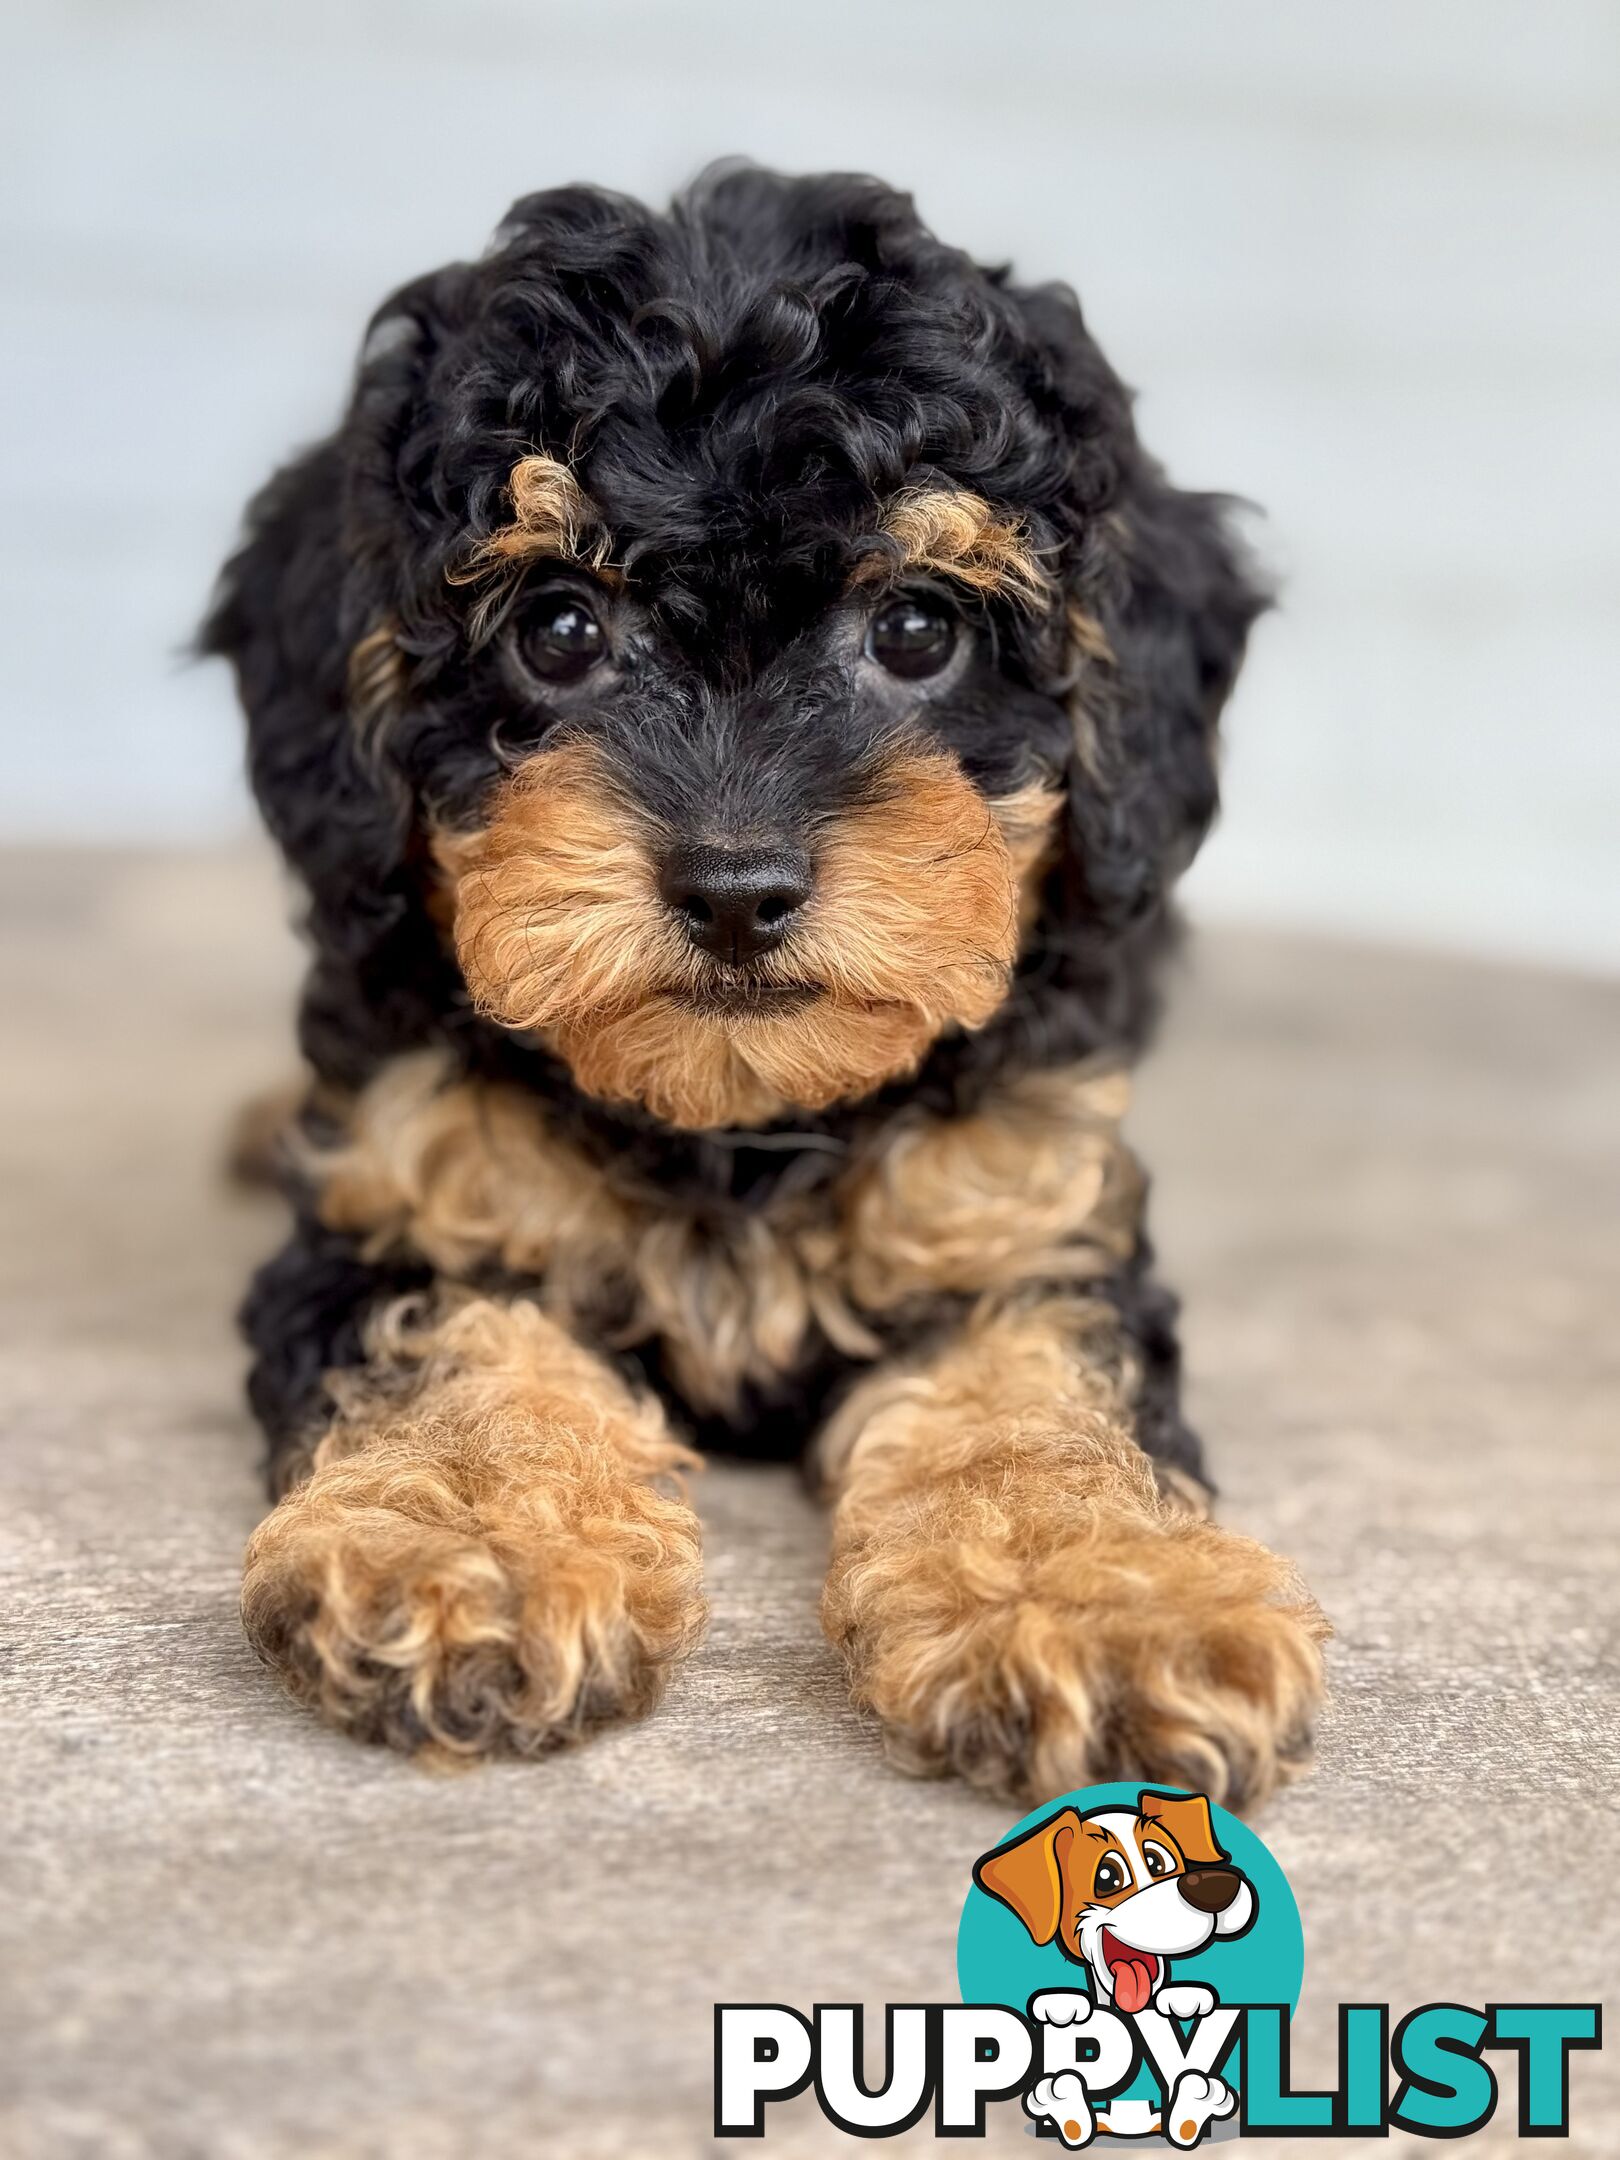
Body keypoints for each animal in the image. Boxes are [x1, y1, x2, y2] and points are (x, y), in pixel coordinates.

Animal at [206, 159, 1330, 1797]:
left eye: (917, 627)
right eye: (558, 628)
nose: (736, 891)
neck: (737, 1124)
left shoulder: (1021, 1223)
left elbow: (1038, 1394)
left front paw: (1111, 1601)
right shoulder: (406, 1205)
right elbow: (460, 1347)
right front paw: (473, 1543)